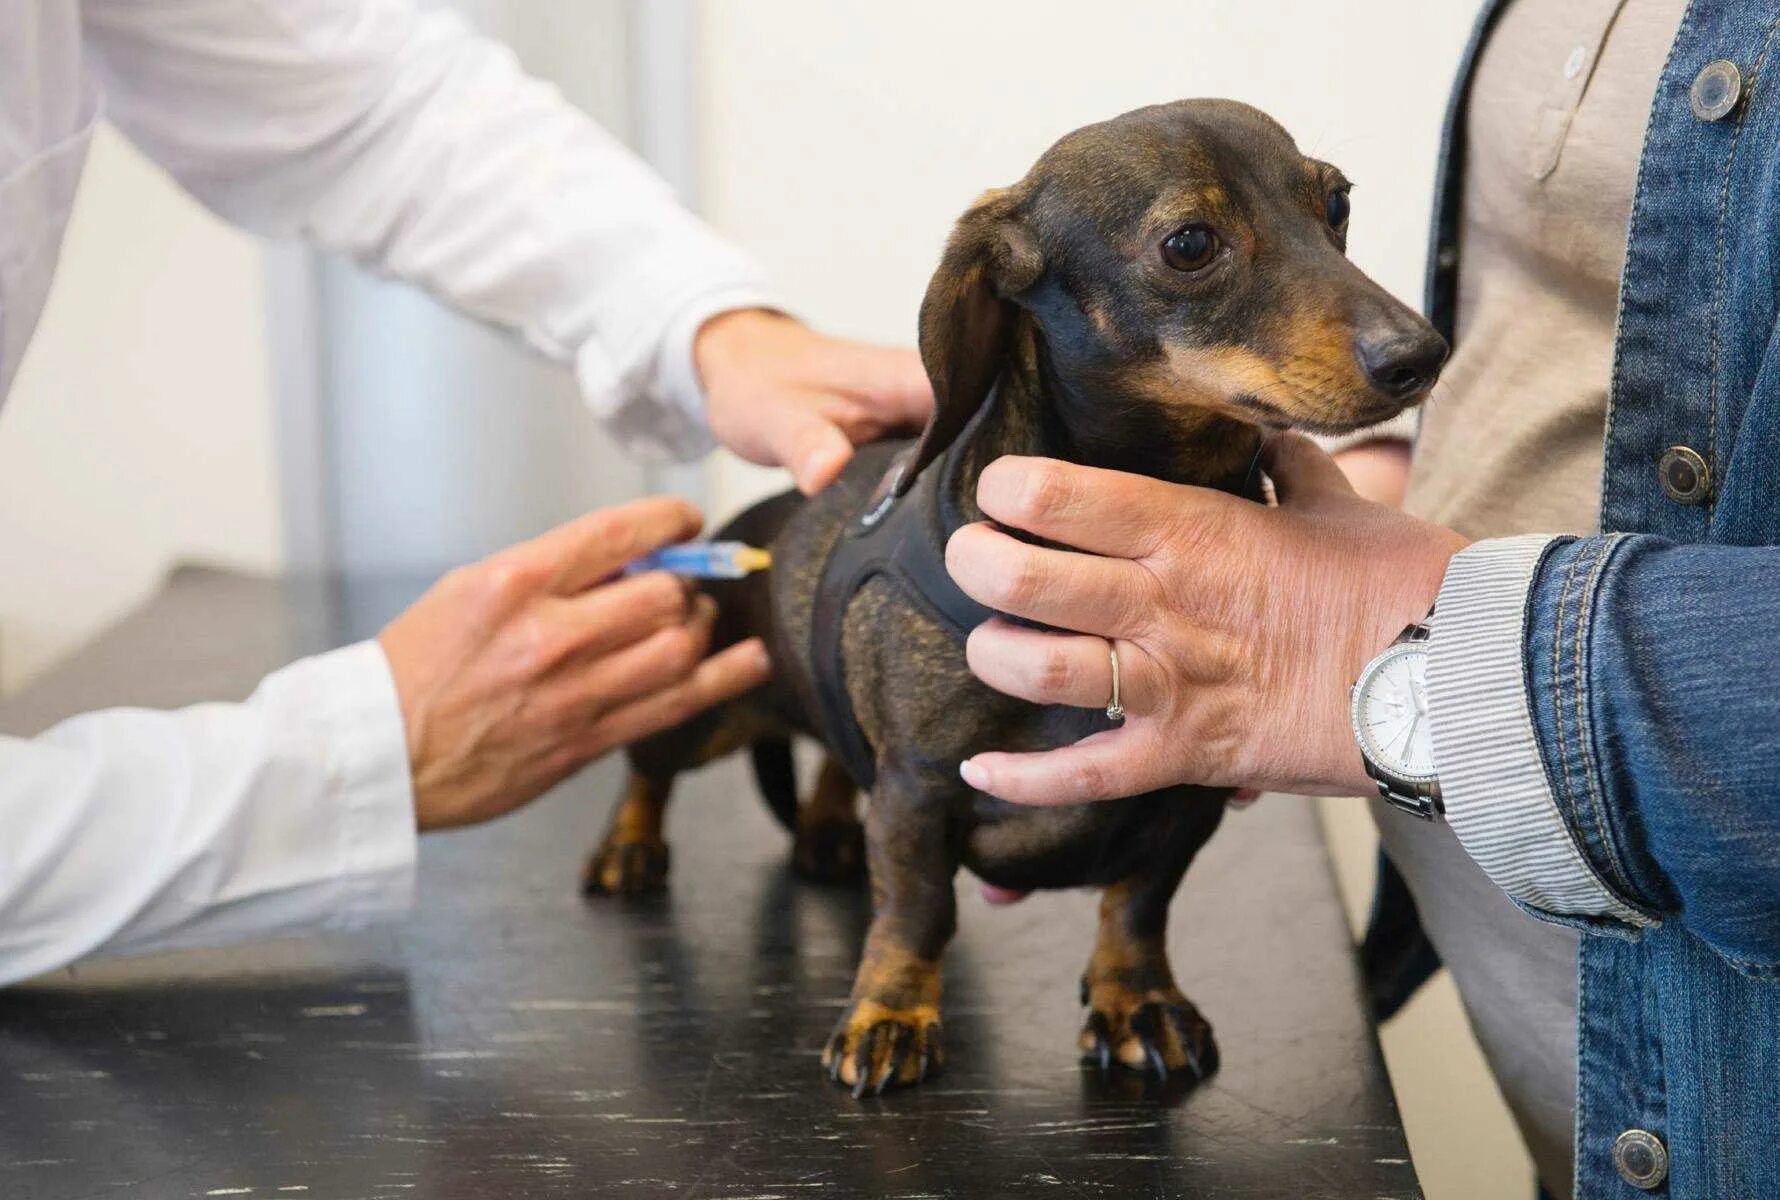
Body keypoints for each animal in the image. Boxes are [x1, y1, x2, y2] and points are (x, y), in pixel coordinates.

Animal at [583, 100, 1445, 1096]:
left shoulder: (1184, 794)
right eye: (1190, 243)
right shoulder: (918, 789)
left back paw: (827, 830)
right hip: (707, 706)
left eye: (1336, 203)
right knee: (649, 768)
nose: (1422, 355)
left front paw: (1136, 1000)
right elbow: (917, 911)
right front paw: (889, 1014)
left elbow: (1138, 907)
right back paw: (629, 846)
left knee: (836, 760)